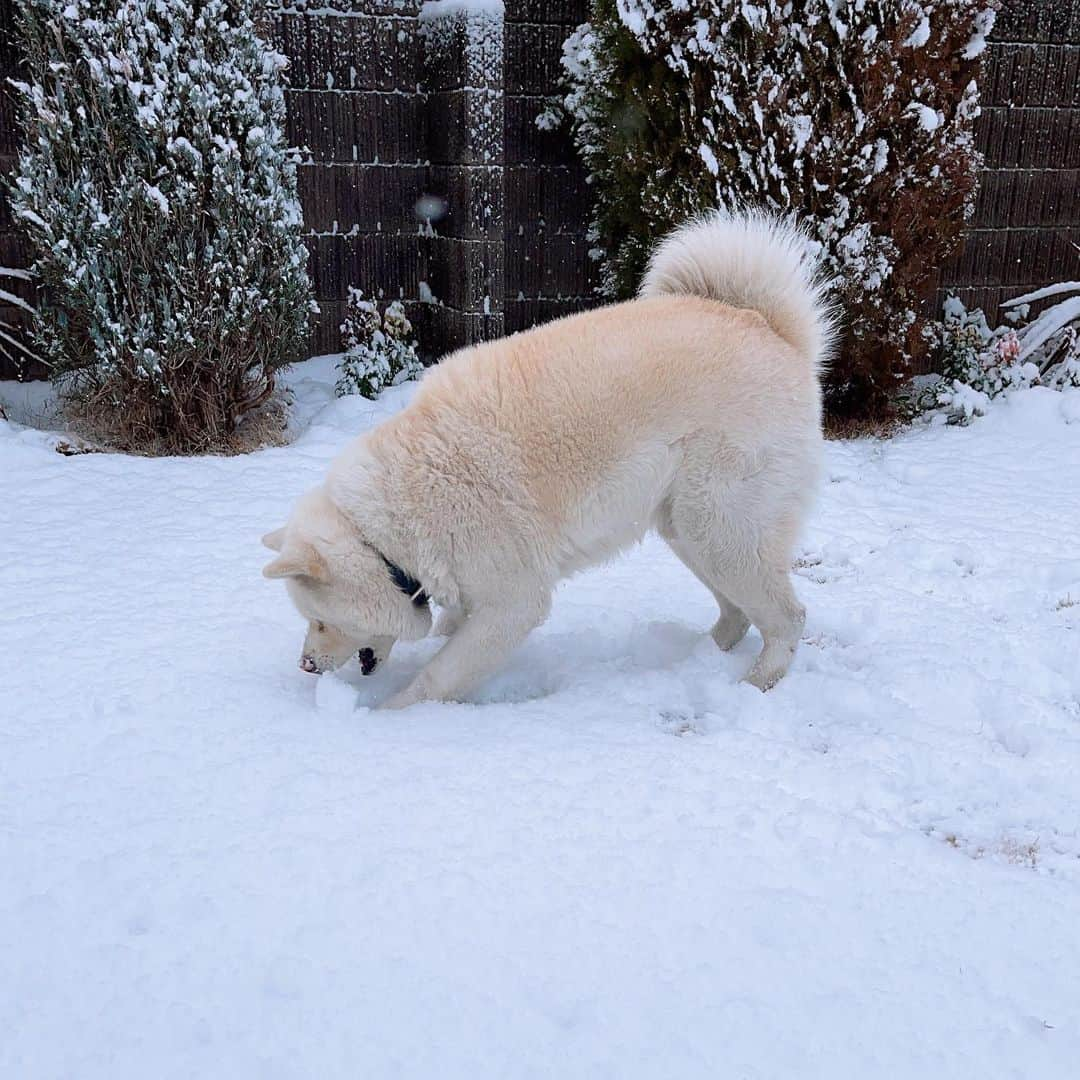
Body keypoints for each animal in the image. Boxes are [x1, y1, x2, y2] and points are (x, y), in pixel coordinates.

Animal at [261, 209, 833, 708]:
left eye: (319, 619)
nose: (305, 666)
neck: (389, 529)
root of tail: (770, 329)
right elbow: (448, 632)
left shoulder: (513, 605)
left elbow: (438, 675)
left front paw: (390, 716)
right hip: (690, 530)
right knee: (738, 613)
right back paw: (694, 659)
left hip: (720, 528)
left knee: (789, 617)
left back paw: (755, 683)